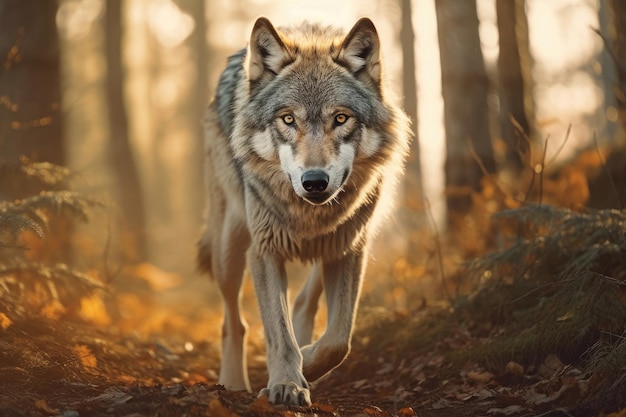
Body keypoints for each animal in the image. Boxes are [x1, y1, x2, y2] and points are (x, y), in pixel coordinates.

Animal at [196, 17, 410, 404]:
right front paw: (287, 384)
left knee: (303, 299)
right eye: (287, 119)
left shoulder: (352, 249)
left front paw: (306, 365)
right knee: (233, 322)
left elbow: (339, 341)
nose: (314, 182)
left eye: (340, 118)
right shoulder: (263, 251)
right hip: (228, 250)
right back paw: (233, 382)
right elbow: (278, 334)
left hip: (342, 237)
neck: (310, 216)